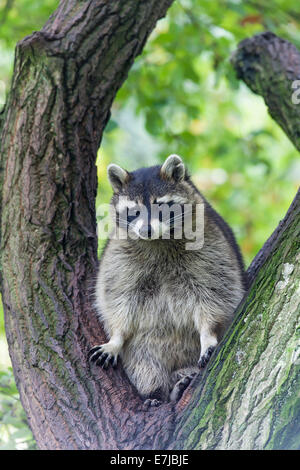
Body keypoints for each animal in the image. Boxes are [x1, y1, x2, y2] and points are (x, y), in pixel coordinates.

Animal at [88, 154, 247, 404]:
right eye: (134, 212)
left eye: (160, 207)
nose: (147, 230)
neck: (159, 240)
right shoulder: (120, 257)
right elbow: (118, 300)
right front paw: (115, 338)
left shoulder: (211, 245)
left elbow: (215, 294)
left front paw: (208, 334)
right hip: (143, 351)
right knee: (145, 366)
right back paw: (156, 392)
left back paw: (181, 381)